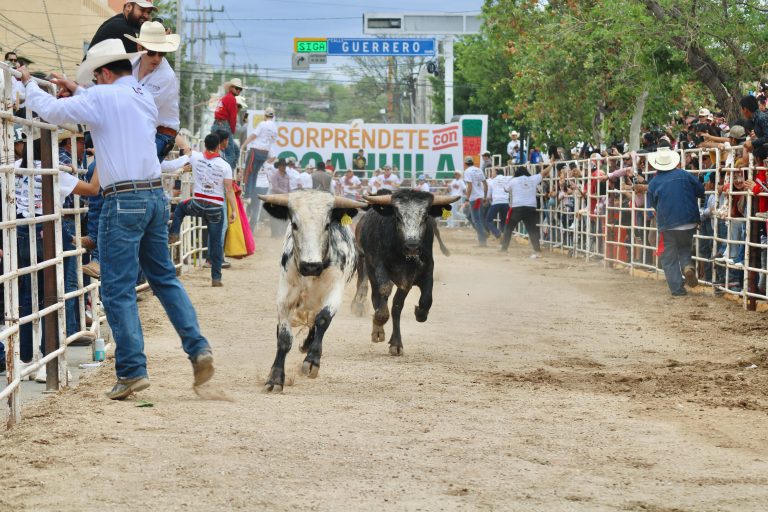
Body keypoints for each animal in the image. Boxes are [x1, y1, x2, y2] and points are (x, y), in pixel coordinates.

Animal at [259, 190, 366, 393]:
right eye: (294, 224)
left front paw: (312, 360)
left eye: (327, 225)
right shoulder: (284, 296)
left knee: (315, 321)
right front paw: (275, 377)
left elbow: (323, 319)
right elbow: (284, 338)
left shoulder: (335, 290)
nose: (310, 266)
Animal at [351, 190, 459, 356]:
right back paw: (377, 329)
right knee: (376, 296)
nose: (412, 246)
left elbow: (425, 300)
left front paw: (419, 313)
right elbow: (384, 291)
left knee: (396, 308)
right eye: (398, 216)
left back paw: (396, 344)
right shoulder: (378, 266)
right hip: (368, 267)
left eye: (425, 216)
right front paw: (379, 320)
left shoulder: (422, 273)